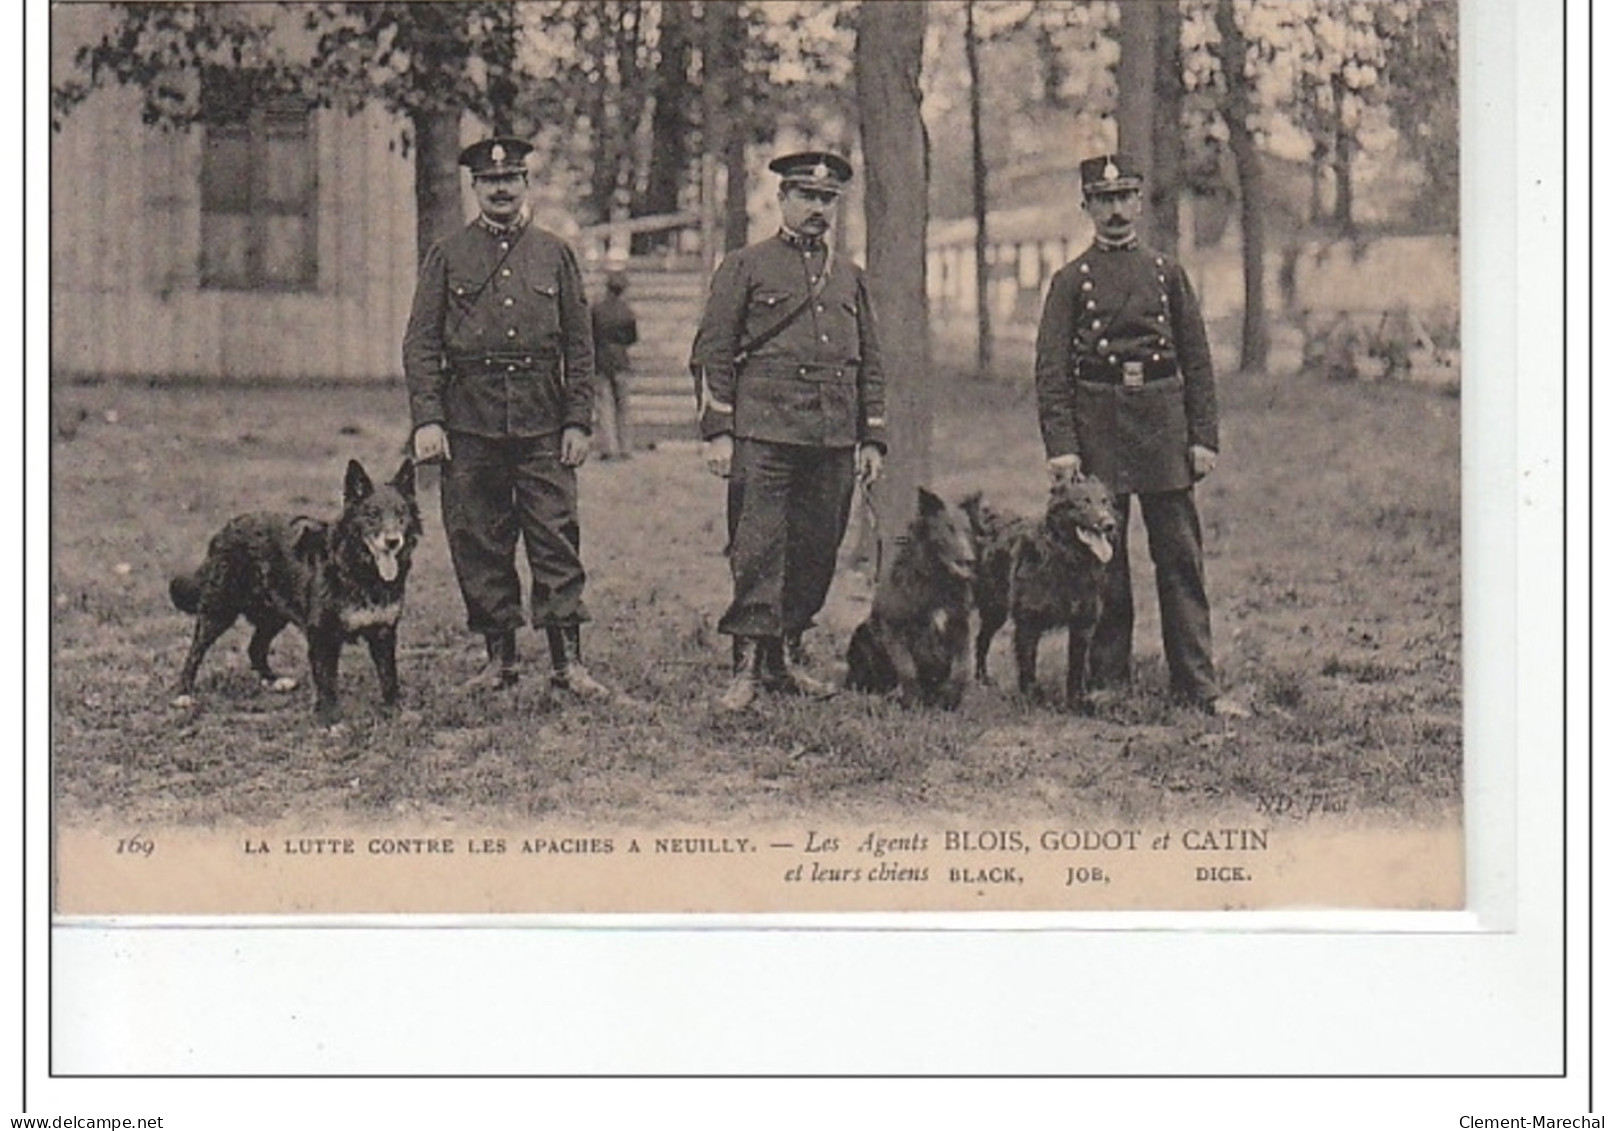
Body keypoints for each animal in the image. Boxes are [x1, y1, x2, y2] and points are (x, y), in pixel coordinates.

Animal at [170, 458, 423, 723]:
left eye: (401, 513)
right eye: (372, 514)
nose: (393, 541)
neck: (357, 566)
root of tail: (225, 529)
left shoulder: (384, 632)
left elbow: (389, 678)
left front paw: (395, 712)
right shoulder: (322, 635)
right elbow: (327, 683)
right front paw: (330, 720)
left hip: (273, 614)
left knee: (255, 648)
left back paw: (273, 680)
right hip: (219, 610)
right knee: (195, 650)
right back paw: (184, 693)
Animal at [839, 484, 975, 707]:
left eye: (969, 531)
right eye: (948, 528)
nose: (970, 560)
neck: (936, 580)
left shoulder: (960, 625)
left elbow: (963, 668)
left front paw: (950, 698)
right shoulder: (894, 627)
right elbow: (907, 668)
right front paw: (912, 700)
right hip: (862, 635)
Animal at [956, 471, 1124, 710]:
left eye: (1105, 502)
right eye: (1083, 502)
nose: (1109, 524)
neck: (1068, 560)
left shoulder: (1083, 624)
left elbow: (1076, 666)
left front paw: (1075, 701)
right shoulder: (1028, 622)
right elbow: (1027, 664)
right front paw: (1031, 699)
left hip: (995, 609)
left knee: (982, 639)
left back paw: (983, 679)